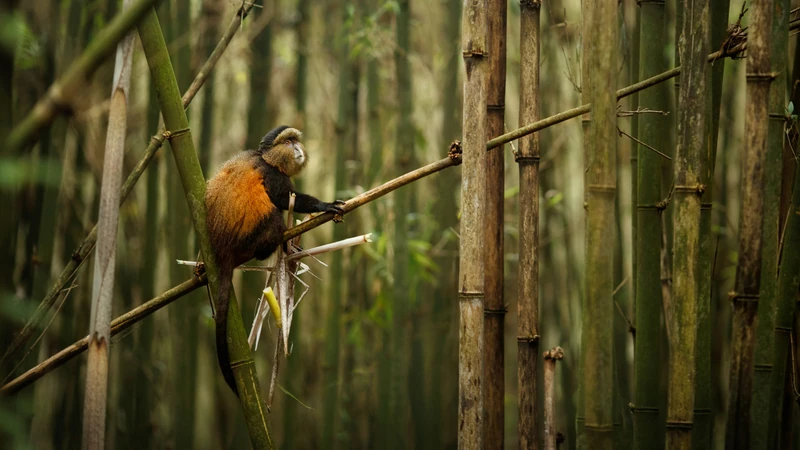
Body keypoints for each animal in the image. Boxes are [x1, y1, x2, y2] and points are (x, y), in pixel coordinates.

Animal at [205, 125, 344, 395]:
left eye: (295, 141)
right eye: (288, 142)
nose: (298, 148)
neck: (266, 158)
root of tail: (223, 250)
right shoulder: (274, 176)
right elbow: (283, 198)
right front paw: (324, 205)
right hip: (253, 238)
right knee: (275, 217)